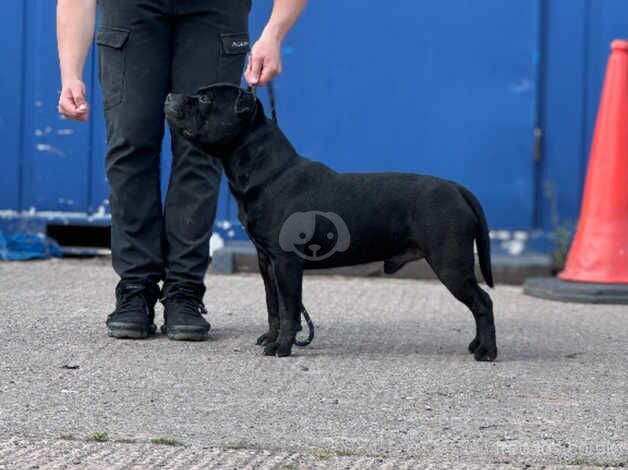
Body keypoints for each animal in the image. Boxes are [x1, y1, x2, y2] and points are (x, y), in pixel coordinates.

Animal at [164, 83, 498, 360]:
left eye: (205, 99)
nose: (169, 96)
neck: (268, 171)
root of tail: (457, 189)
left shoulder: (286, 262)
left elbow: (289, 309)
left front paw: (282, 348)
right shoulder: (266, 261)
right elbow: (273, 306)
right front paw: (271, 338)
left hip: (450, 264)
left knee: (483, 303)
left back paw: (487, 351)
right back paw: (476, 345)